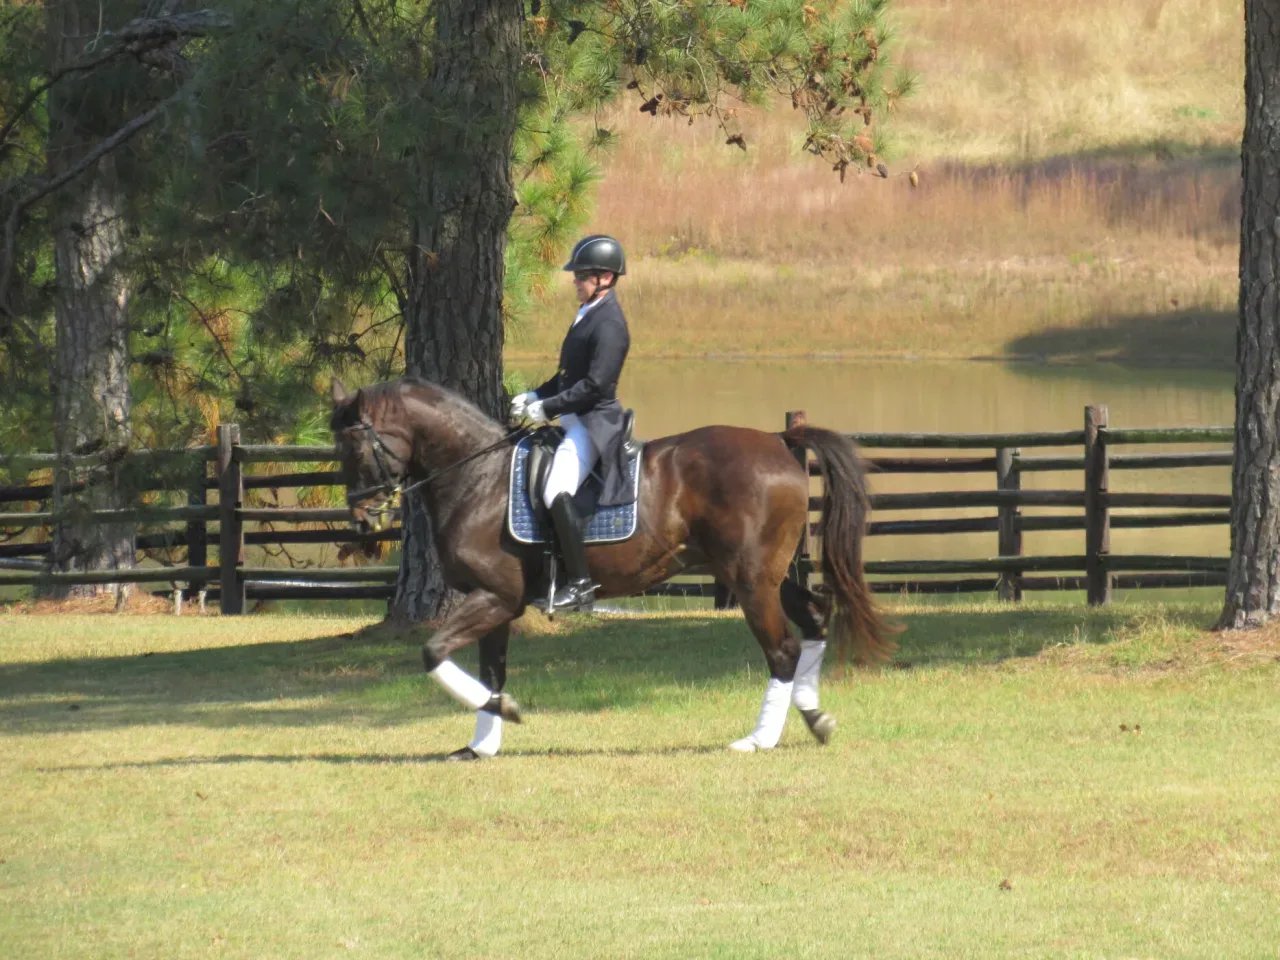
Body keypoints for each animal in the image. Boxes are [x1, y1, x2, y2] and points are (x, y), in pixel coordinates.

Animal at [330, 376, 890, 757]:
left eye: (355, 446)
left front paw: (506, 711)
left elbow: (433, 652)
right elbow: (491, 671)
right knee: (814, 623)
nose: (360, 521)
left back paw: (759, 739)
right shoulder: (494, 604)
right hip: (773, 576)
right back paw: (815, 718)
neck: (478, 477)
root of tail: (778, 440)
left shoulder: (494, 598)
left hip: (752, 582)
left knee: (783, 649)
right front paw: (481, 745)